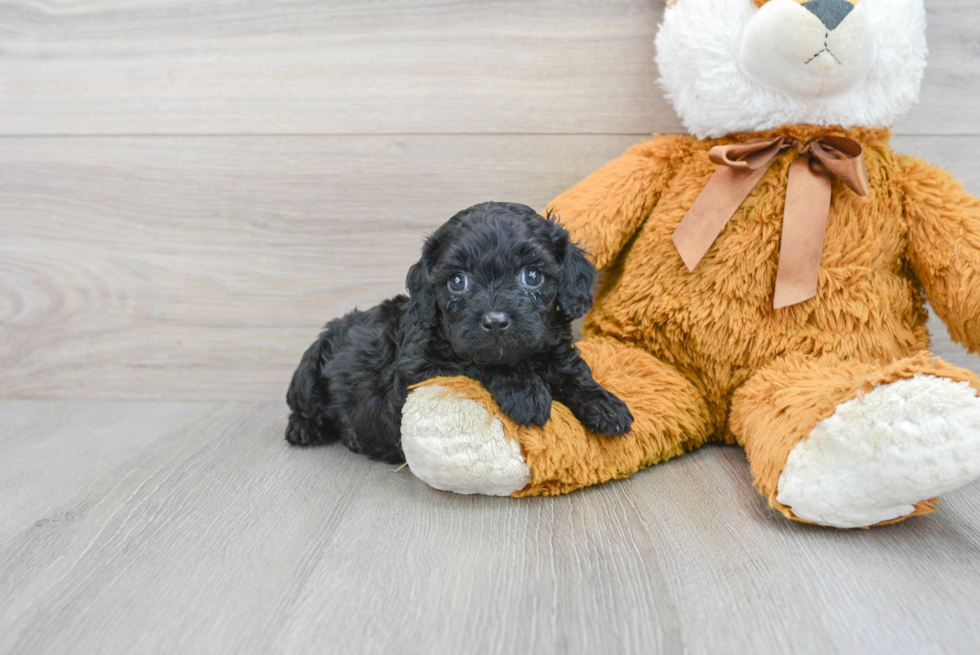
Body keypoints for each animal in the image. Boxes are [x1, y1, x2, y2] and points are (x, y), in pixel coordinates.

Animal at [288, 202, 632, 464]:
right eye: (457, 281)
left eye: (532, 276)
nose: (495, 321)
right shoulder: (419, 372)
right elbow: (476, 363)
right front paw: (526, 393)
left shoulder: (555, 349)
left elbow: (574, 372)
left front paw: (606, 405)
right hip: (308, 373)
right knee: (302, 405)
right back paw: (304, 430)